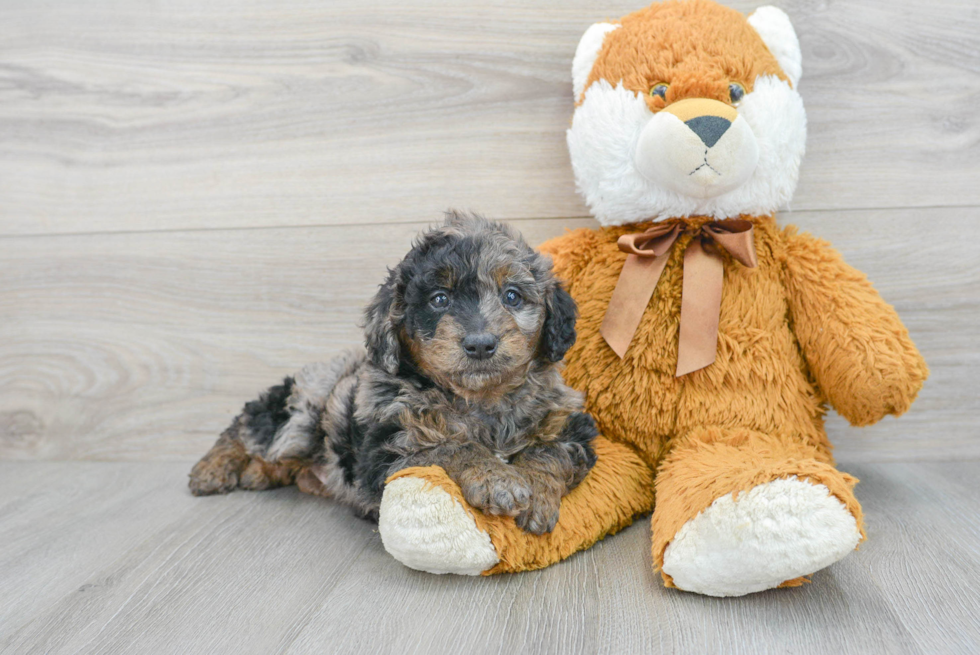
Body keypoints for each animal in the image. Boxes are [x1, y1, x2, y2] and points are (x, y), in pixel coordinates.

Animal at [187, 213, 592, 536]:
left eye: (512, 296)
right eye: (439, 299)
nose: (480, 344)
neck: (479, 400)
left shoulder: (573, 425)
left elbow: (550, 451)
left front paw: (536, 493)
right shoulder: (385, 453)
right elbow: (449, 446)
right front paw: (497, 479)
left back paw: (260, 473)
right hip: (303, 408)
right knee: (248, 424)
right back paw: (213, 468)